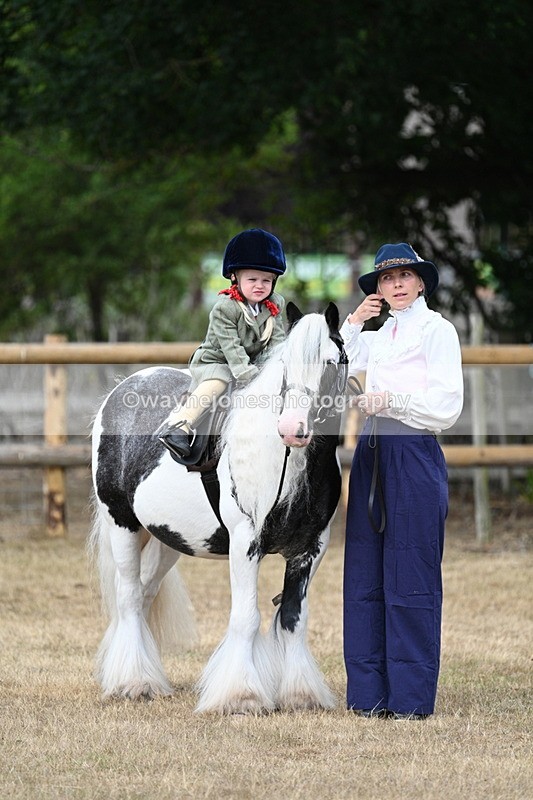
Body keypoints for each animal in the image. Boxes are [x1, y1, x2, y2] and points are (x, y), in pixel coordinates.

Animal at [89, 301, 347, 714]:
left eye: (330, 362)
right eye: (285, 366)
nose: (292, 428)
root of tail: (123, 388)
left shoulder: (311, 550)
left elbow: (293, 617)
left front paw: (301, 694)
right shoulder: (245, 544)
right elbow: (246, 617)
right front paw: (241, 695)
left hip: (168, 540)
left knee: (144, 594)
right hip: (122, 524)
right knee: (128, 597)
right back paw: (134, 681)